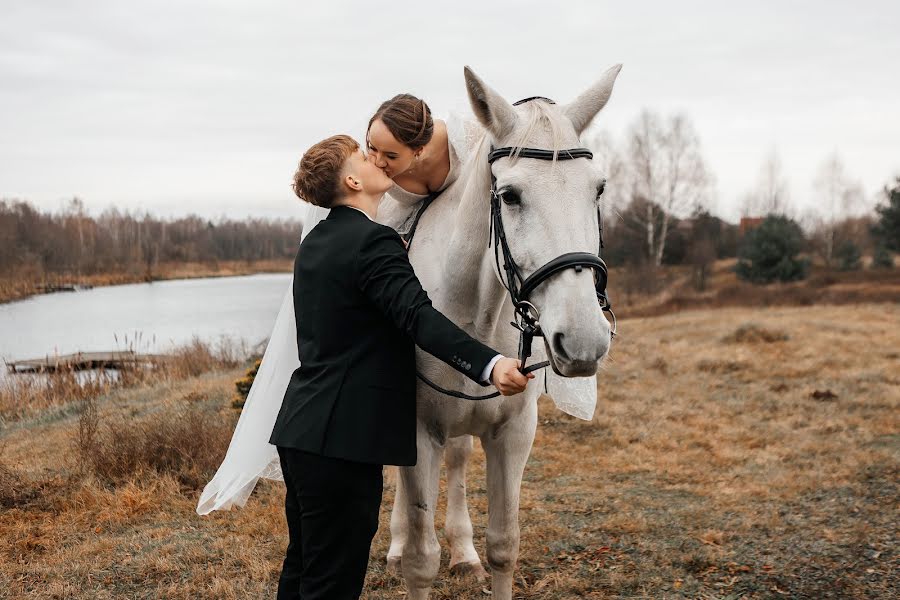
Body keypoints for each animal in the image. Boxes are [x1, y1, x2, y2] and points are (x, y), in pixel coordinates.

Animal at [376, 65, 624, 600]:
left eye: (597, 189)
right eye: (510, 195)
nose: (583, 339)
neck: (476, 316)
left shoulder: (513, 434)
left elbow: (504, 545)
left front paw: (475, 553)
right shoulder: (418, 433)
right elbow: (421, 560)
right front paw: (409, 549)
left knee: (458, 460)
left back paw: (463, 552)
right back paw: (396, 544)